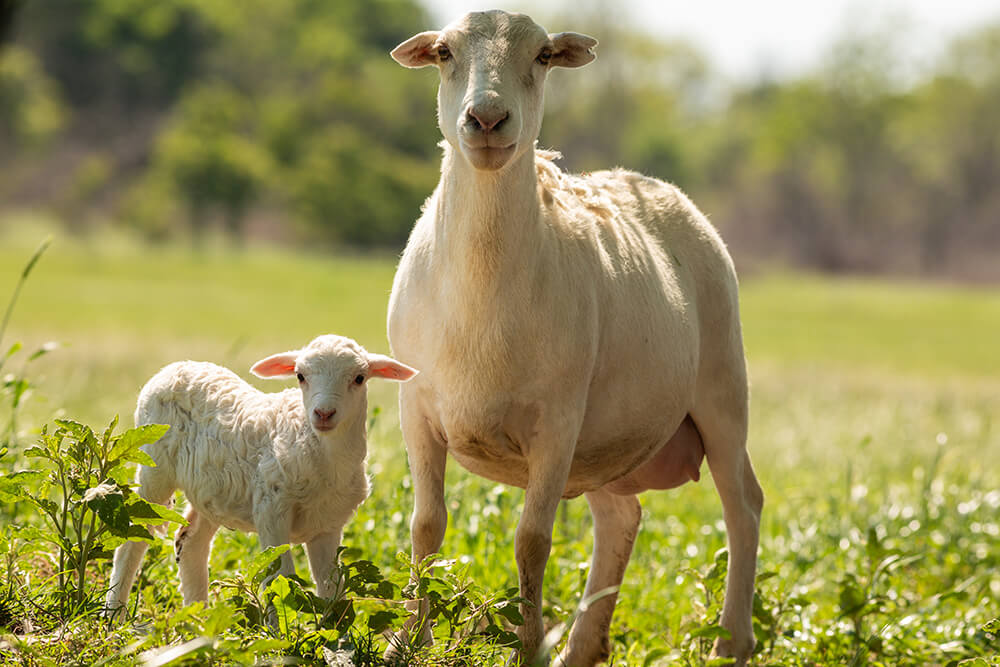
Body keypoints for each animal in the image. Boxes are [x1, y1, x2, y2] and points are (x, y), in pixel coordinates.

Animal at [107, 334, 420, 616]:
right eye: (300, 376)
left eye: (359, 378)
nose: (323, 413)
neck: (320, 451)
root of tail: (174, 367)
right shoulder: (271, 507)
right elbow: (279, 577)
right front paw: (280, 636)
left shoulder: (328, 523)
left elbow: (332, 589)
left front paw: (333, 635)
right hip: (154, 467)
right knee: (134, 539)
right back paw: (114, 617)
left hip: (211, 489)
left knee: (191, 542)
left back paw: (198, 621)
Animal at [386, 10, 760, 667]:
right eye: (444, 53)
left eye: (542, 57)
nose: (487, 120)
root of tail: (656, 186)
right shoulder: (418, 407)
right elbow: (425, 527)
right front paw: (413, 639)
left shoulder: (557, 420)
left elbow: (532, 541)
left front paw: (528, 648)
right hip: (609, 438)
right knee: (622, 516)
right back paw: (583, 647)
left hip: (721, 388)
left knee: (742, 506)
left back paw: (730, 644)